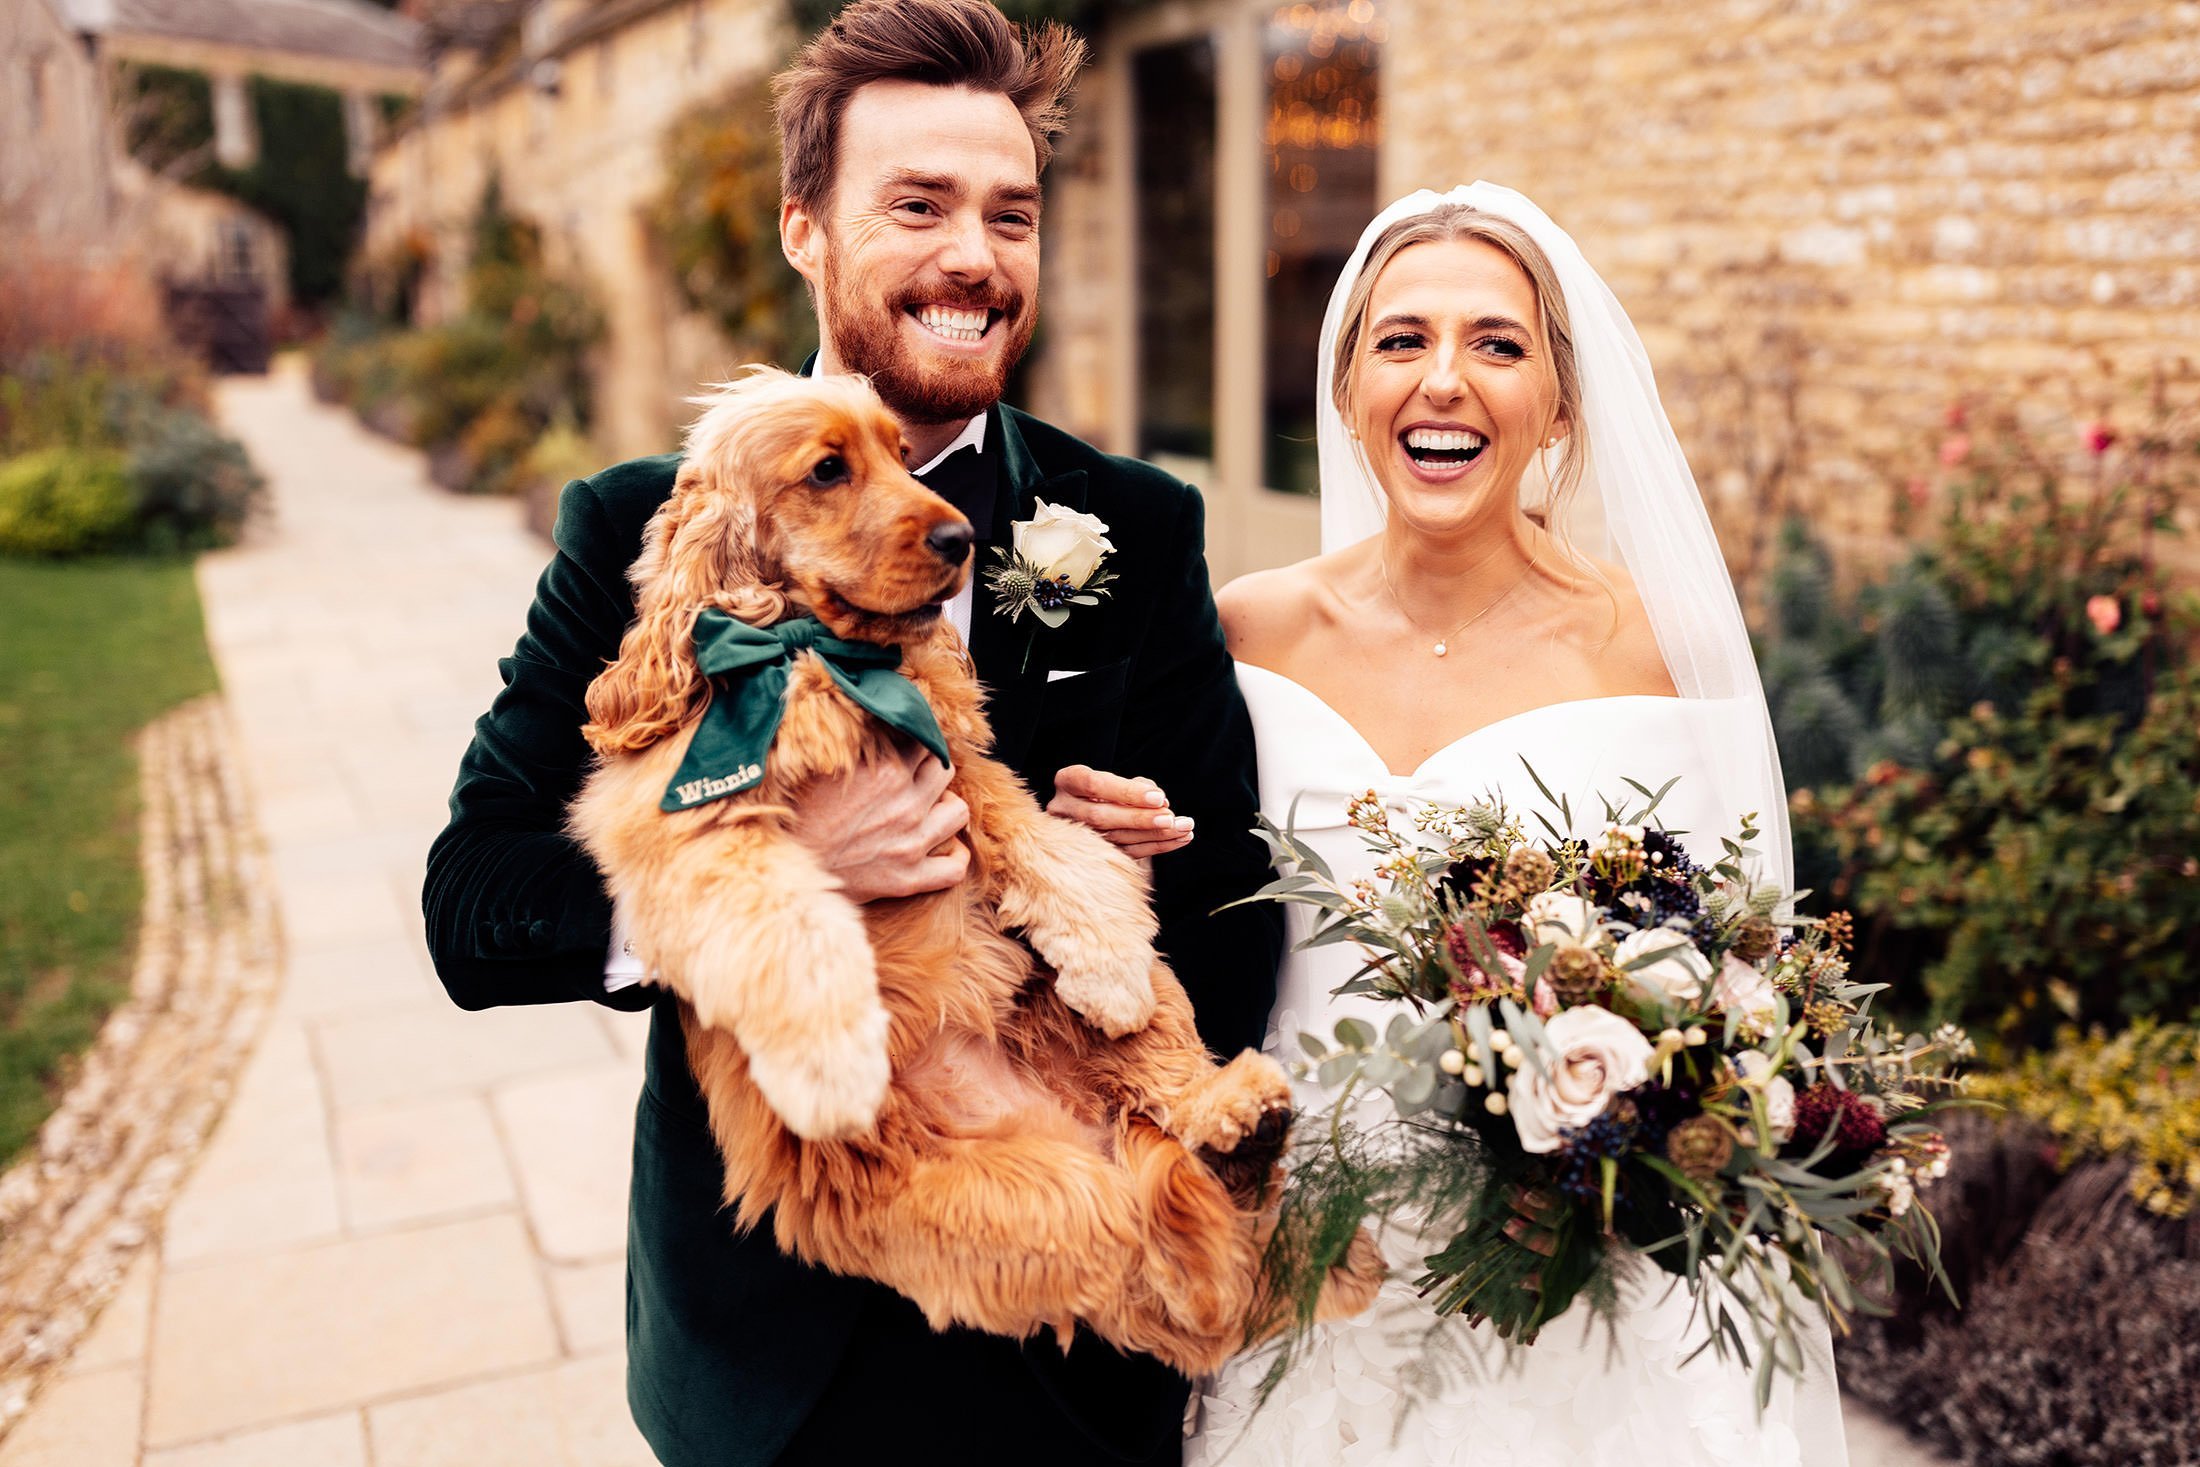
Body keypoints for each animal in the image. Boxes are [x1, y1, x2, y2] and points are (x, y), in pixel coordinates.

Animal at [558, 369, 1364, 1381]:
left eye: (904, 456)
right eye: (827, 470)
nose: (960, 540)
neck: (819, 654)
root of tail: (1073, 1127)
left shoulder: (958, 770)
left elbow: (1036, 836)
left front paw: (1106, 962)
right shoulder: (683, 821)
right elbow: (781, 918)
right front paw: (830, 1054)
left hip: (1107, 1059)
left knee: (1174, 1124)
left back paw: (1238, 1113)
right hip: (1022, 1205)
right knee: (1164, 1261)